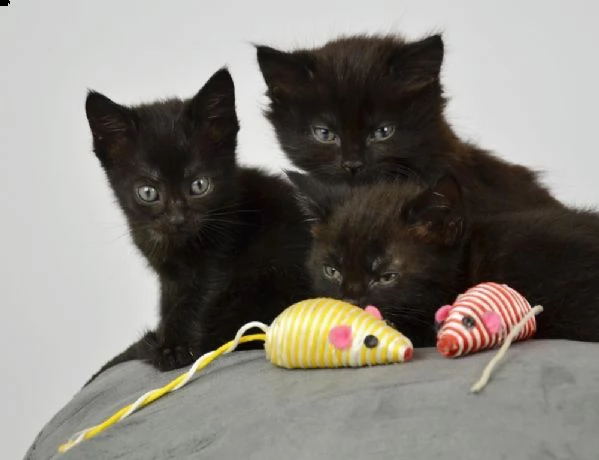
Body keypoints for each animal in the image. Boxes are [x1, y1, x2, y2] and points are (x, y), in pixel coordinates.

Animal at [86, 68, 316, 378]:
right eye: (148, 192)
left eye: (199, 185)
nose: (177, 219)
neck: (173, 246)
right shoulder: (168, 278)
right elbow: (168, 304)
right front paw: (168, 341)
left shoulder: (220, 256)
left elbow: (194, 301)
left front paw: (172, 349)